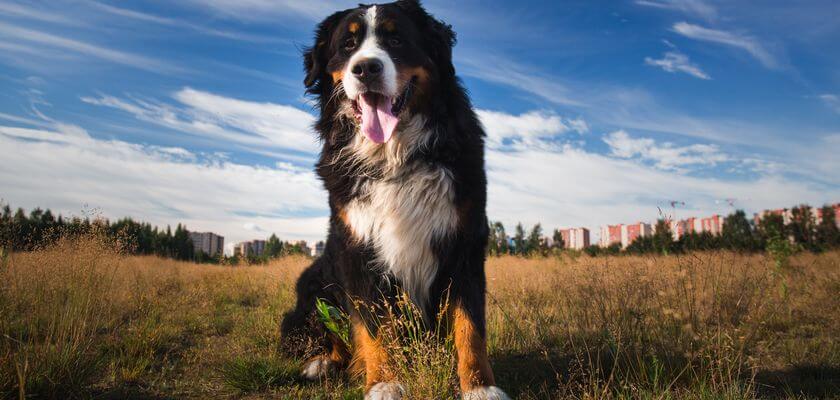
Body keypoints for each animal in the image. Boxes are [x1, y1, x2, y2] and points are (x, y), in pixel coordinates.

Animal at [278, 1, 508, 398]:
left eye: (396, 39)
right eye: (348, 44)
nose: (366, 68)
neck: (393, 156)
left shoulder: (464, 242)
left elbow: (469, 326)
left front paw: (480, 387)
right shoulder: (357, 248)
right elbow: (375, 328)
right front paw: (385, 382)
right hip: (314, 279)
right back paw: (320, 361)